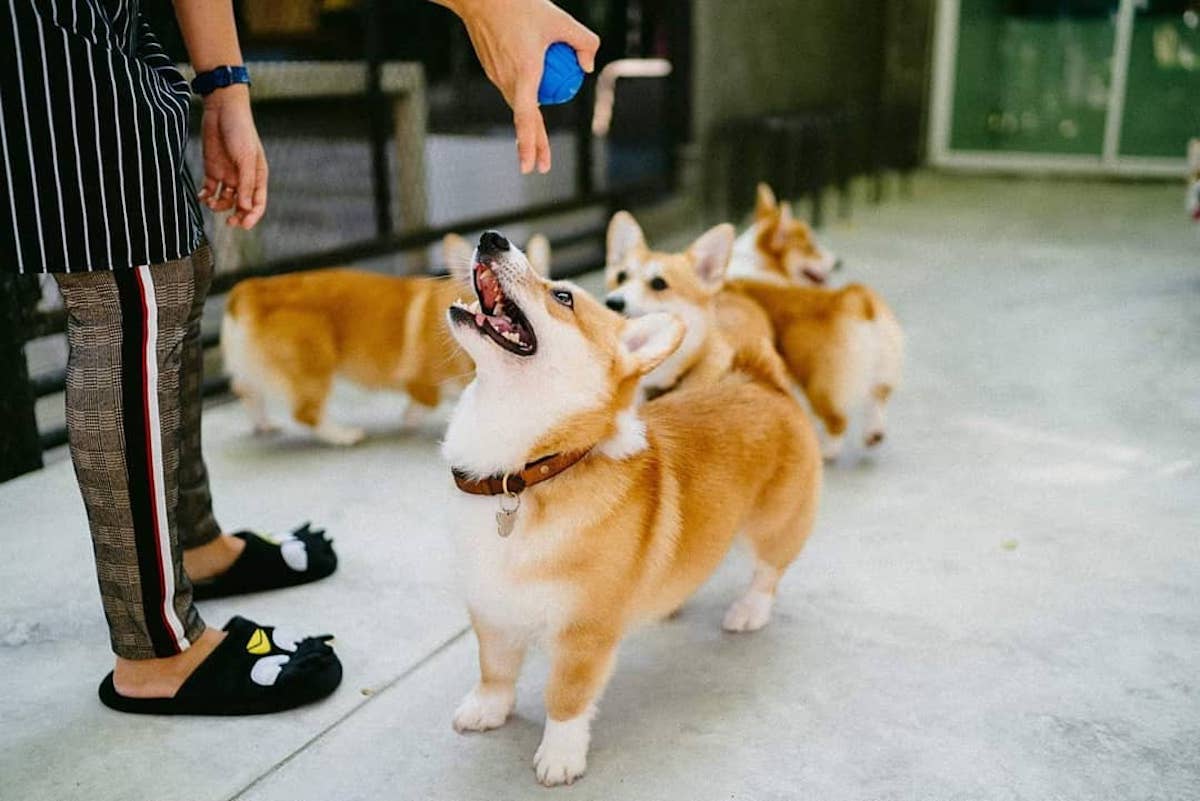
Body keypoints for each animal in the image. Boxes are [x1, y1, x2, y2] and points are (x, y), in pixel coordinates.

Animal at [220, 235, 549, 443]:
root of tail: (249, 290)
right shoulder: (422, 382)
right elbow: (429, 399)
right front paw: (412, 420)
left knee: (246, 390)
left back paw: (264, 424)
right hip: (315, 363)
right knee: (305, 413)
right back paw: (343, 435)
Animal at [444, 227, 825, 786]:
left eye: (563, 297)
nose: (493, 238)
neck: (526, 472)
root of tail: (764, 383)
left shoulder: (583, 637)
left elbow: (566, 699)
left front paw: (560, 756)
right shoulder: (491, 609)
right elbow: (494, 669)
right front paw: (488, 709)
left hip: (774, 525)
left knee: (768, 570)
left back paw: (749, 611)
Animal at [609, 211, 902, 462]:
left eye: (659, 283)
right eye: (621, 276)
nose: (613, 302)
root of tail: (855, 298)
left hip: (817, 380)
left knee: (838, 420)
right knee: (876, 397)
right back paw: (870, 433)